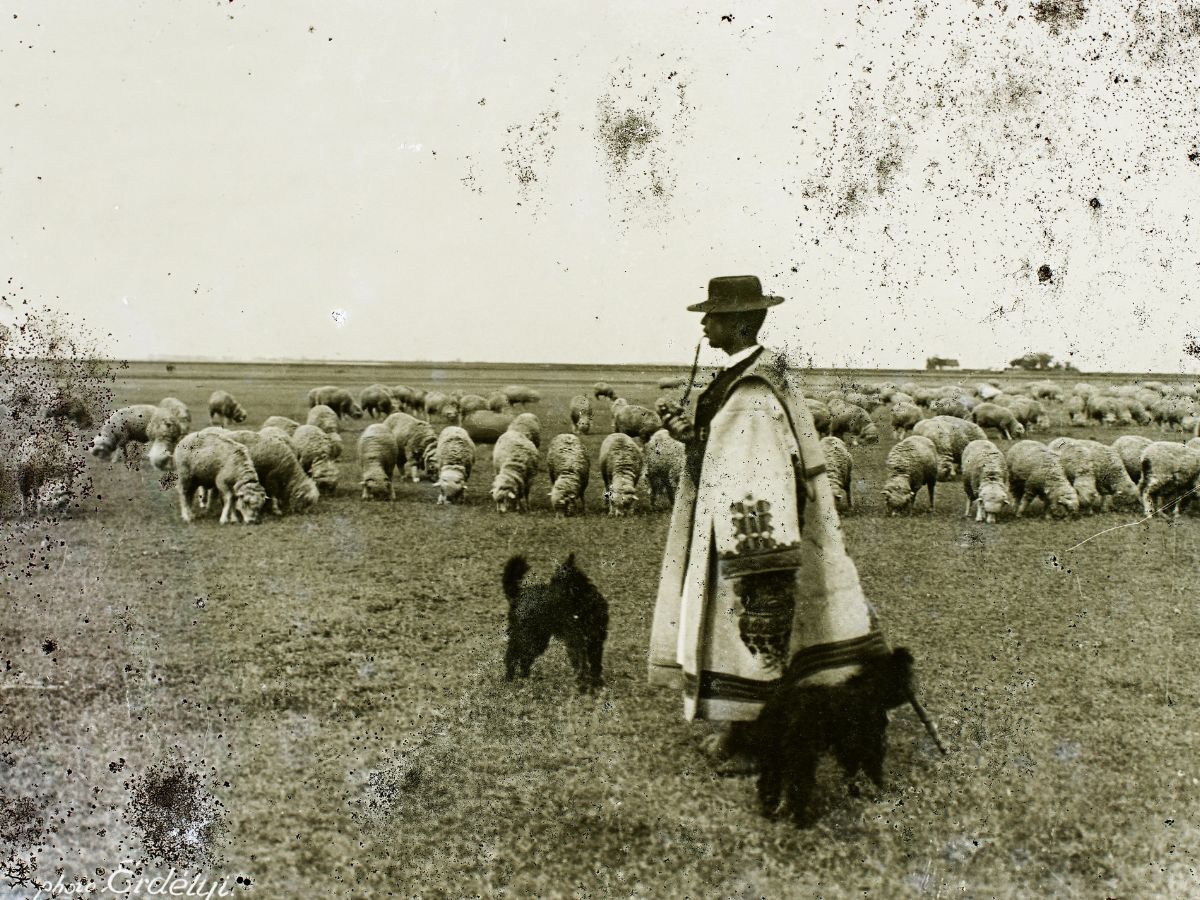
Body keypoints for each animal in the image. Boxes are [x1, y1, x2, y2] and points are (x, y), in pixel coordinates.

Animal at [501, 554, 609, 696]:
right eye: (551, 582)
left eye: (556, 583)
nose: (543, 600)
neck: (582, 606)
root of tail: (518, 595)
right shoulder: (576, 643)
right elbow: (582, 667)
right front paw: (583, 688)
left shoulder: (595, 642)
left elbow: (595, 666)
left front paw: (596, 686)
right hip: (527, 637)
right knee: (513, 655)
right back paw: (510, 679)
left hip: (538, 639)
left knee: (525, 659)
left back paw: (526, 680)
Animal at [734, 643, 912, 830]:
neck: (869, 688)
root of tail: (777, 710)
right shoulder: (869, 745)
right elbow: (872, 771)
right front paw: (880, 793)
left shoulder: (848, 749)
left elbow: (852, 773)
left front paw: (855, 793)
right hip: (800, 758)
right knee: (797, 789)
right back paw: (800, 821)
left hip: (775, 758)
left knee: (768, 784)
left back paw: (770, 814)